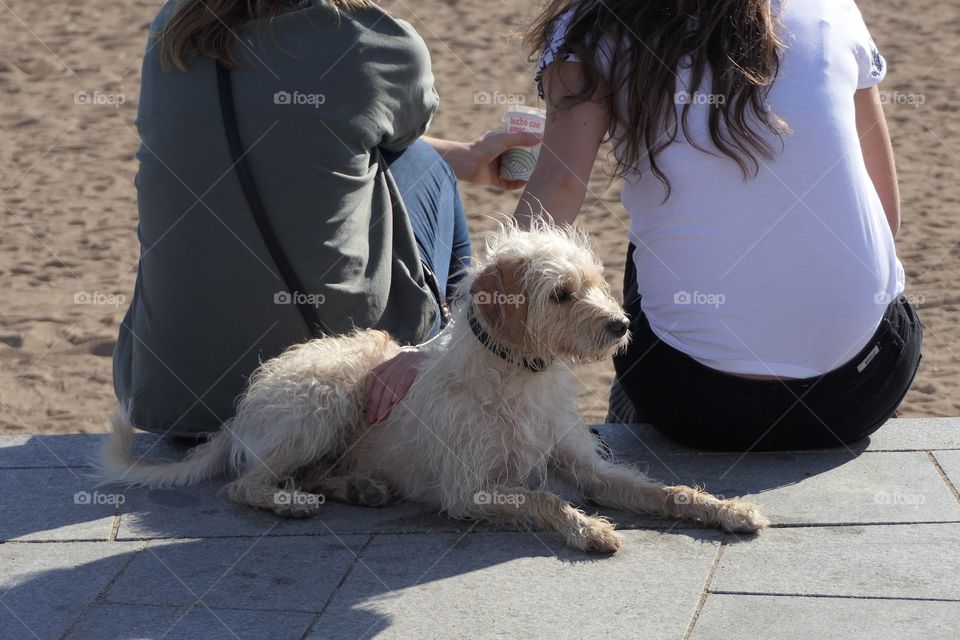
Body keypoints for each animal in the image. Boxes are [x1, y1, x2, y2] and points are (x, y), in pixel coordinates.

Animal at [97, 224, 768, 552]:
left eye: (597, 283)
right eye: (560, 294)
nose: (621, 325)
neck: (518, 373)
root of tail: (239, 415)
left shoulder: (587, 467)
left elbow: (667, 491)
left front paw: (728, 510)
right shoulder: (468, 489)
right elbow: (544, 498)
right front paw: (589, 529)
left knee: (306, 472)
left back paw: (359, 487)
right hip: (326, 399)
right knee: (243, 484)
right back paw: (291, 501)